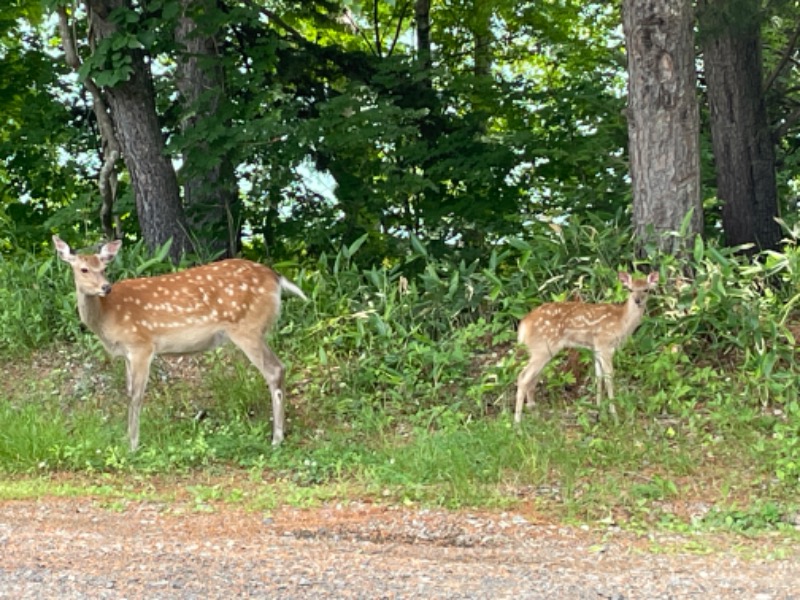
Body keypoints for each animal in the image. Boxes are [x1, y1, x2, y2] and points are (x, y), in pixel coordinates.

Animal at [53, 234, 308, 450]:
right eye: (84, 269)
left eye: (104, 268)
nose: (105, 287)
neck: (107, 316)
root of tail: (276, 278)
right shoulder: (128, 352)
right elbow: (129, 392)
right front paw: (128, 440)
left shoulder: (141, 344)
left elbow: (136, 396)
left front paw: (133, 445)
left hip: (247, 327)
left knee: (274, 370)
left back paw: (276, 439)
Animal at [516, 272, 660, 422]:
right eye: (630, 289)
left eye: (646, 290)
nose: (638, 300)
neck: (622, 322)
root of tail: (524, 324)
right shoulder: (605, 344)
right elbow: (609, 377)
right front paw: (614, 416)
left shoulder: (596, 348)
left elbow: (598, 376)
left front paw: (599, 412)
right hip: (542, 348)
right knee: (523, 377)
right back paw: (518, 421)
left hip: (542, 350)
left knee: (532, 379)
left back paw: (534, 414)